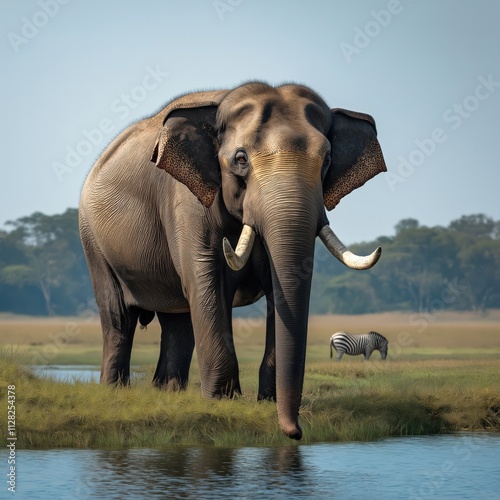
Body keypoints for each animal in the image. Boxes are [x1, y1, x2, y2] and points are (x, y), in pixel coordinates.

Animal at [78, 80, 386, 440]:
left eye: (327, 160)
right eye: (240, 159)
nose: (295, 432)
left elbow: (277, 289)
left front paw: (265, 402)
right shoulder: (187, 201)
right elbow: (206, 283)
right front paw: (222, 402)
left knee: (178, 322)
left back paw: (168, 392)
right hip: (92, 240)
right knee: (119, 318)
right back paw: (115, 390)